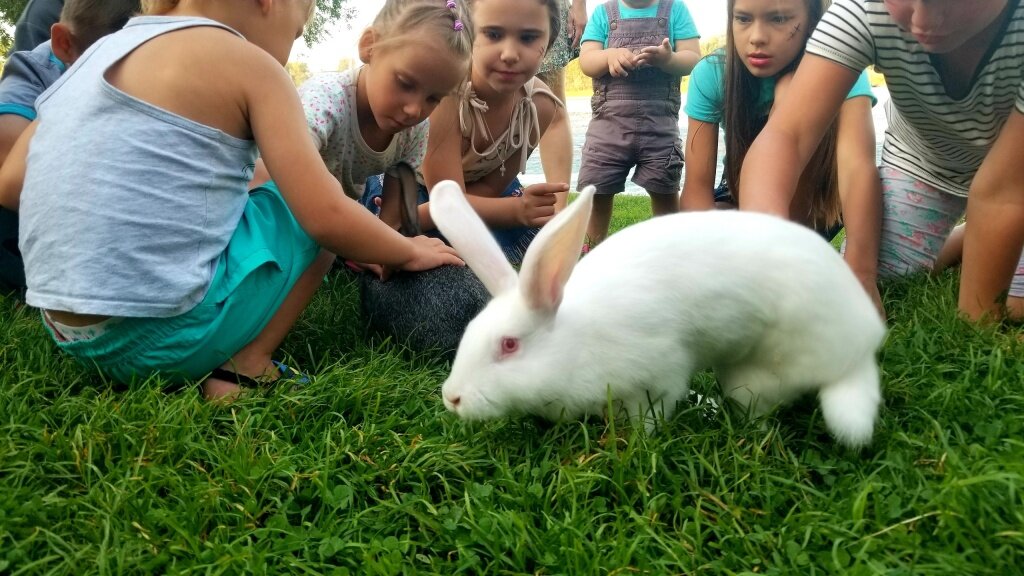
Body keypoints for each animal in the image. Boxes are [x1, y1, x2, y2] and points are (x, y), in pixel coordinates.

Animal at [428, 181, 884, 446]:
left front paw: (638, 442)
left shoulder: (657, 376)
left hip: (757, 376)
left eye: (509, 345)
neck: (577, 343)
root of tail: (860, 346)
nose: (452, 398)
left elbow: (652, 415)